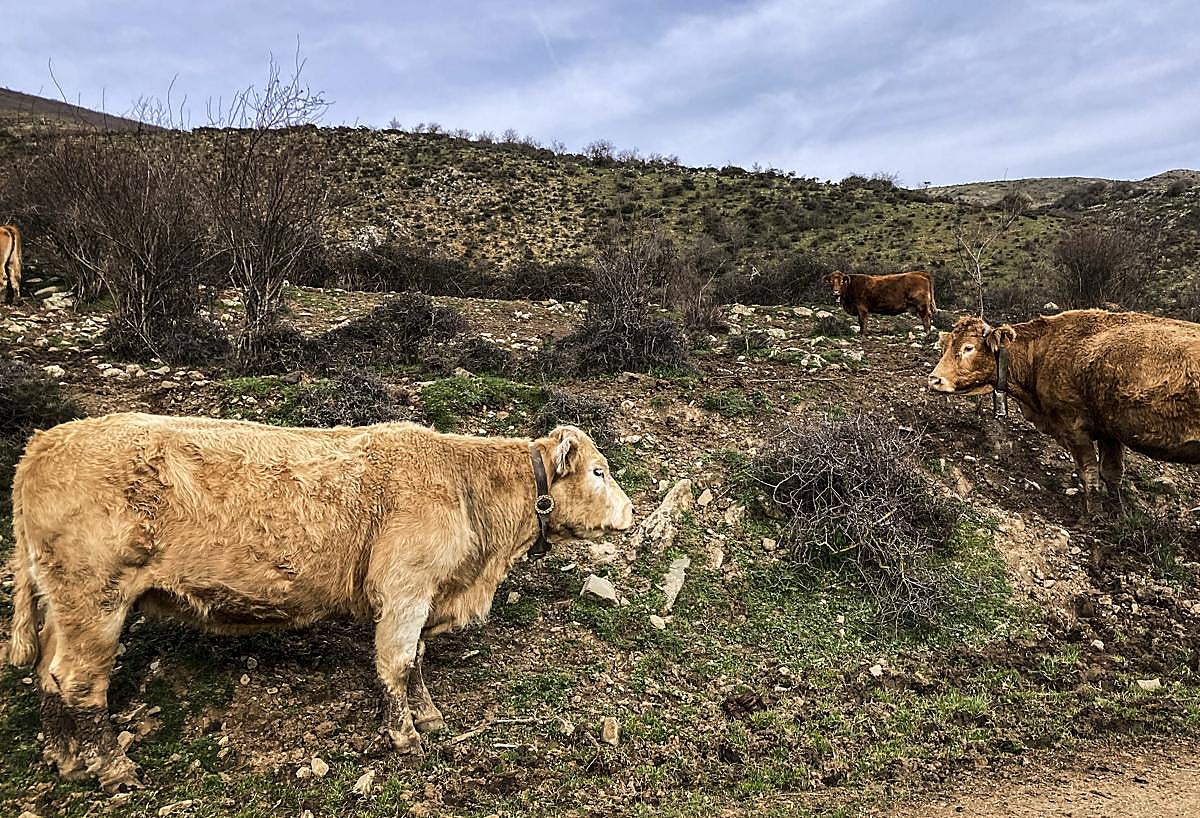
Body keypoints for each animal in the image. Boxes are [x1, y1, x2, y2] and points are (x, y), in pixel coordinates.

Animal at [5, 413, 634, 790]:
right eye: (599, 471)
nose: (631, 512)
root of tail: (42, 444)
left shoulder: (426, 596)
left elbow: (417, 662)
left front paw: (429, 716)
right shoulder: (406, 591)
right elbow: (397, 663)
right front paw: (406, 737)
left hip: (65, 603)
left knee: (49, 672)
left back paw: (64, 758)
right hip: (96, 598)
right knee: (80, 683)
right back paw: (113, 768)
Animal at [928, 310, 1200, 510]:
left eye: (968, 347)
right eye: (947, 345)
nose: (934, 379)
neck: (1042, 352)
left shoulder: (1072, 425)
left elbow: (1090, 475)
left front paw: (1094, 517)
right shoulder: (1108, 430)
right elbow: (1111, 473)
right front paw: (1117, 514)